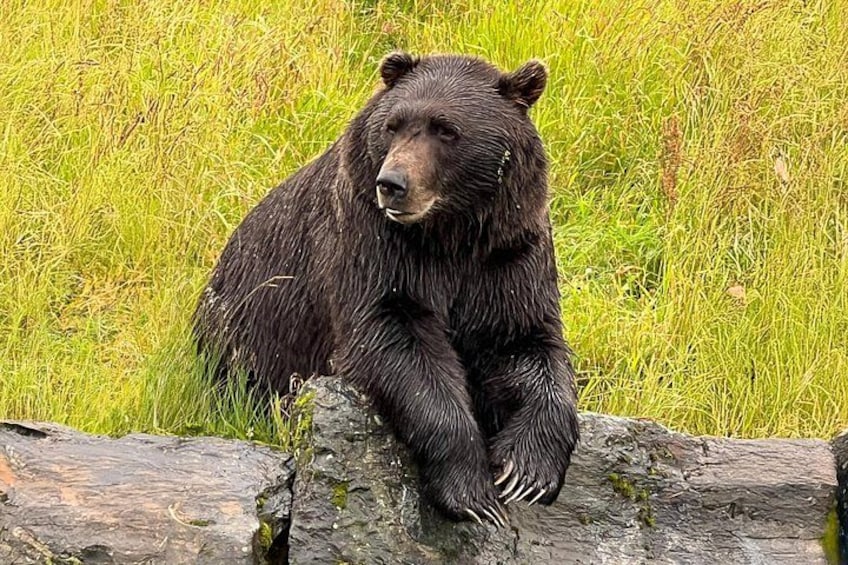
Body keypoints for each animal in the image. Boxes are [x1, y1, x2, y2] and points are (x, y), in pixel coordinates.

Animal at [193, 51, 579, 527]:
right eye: (393, 125)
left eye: (446, 129)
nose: (392, 183)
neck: (450, 235)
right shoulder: (373, 240)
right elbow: (394, 341)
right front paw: (475, 494)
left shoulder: (508, 253)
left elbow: (527, 345)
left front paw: (527, 472)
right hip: (241, 334)